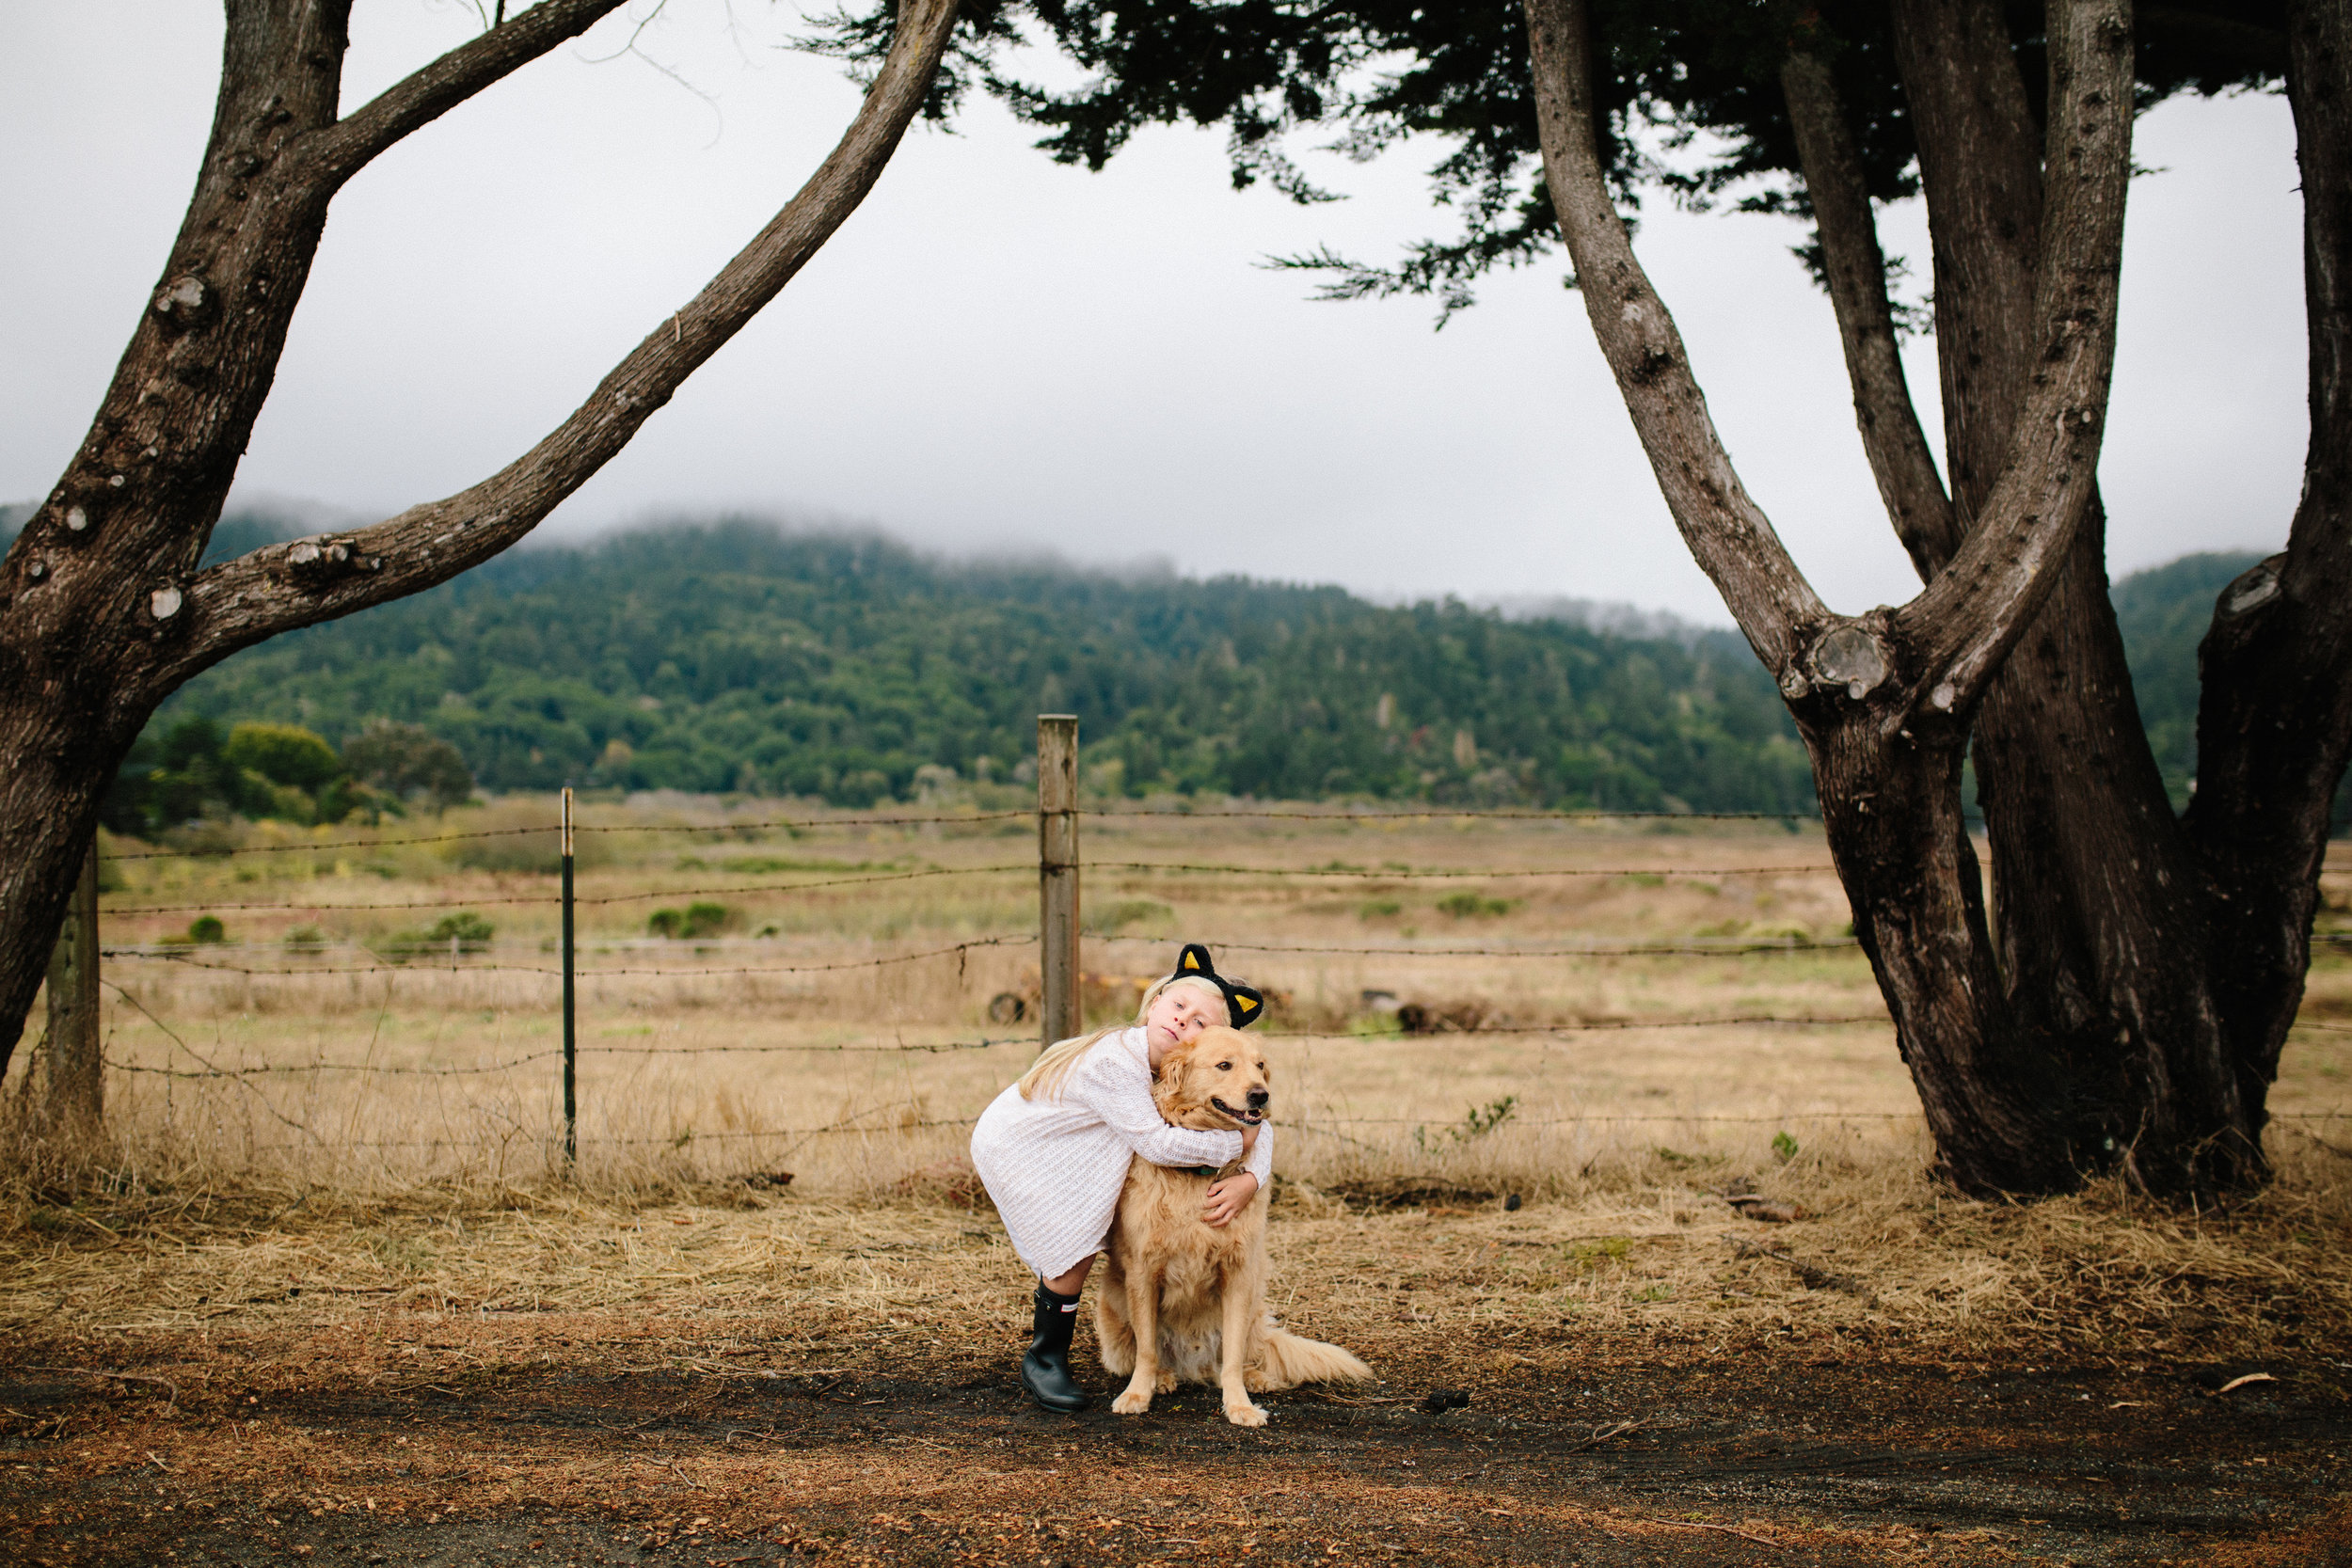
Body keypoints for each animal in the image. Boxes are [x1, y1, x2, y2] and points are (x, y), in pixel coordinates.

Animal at [1091, 1024, 1374, 1429]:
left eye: (1260, 1066)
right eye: (1224, 1065)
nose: (1261, 1094)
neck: (1201, 1169)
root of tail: (1192, 1364)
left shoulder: (1238, 1273)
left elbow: (1234, 1355)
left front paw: (1239, 1405)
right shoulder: (1143, 1271)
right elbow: (1146, 1350)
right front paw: (1138, 1394)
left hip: (1254, 1305)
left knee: (1235, 1357)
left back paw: (1256, 1378)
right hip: (1113, 1310)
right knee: (1146, 1354)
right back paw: (1164, 1377)